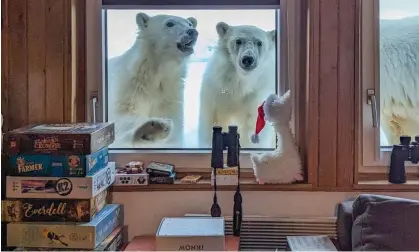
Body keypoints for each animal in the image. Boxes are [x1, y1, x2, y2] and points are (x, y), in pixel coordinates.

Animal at [106, 13, 199, 148]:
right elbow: (122, 115)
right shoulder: (128, 86)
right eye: (170, 23)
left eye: (190, 24)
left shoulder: (169, 93)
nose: (192, 32)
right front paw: (154, 127)